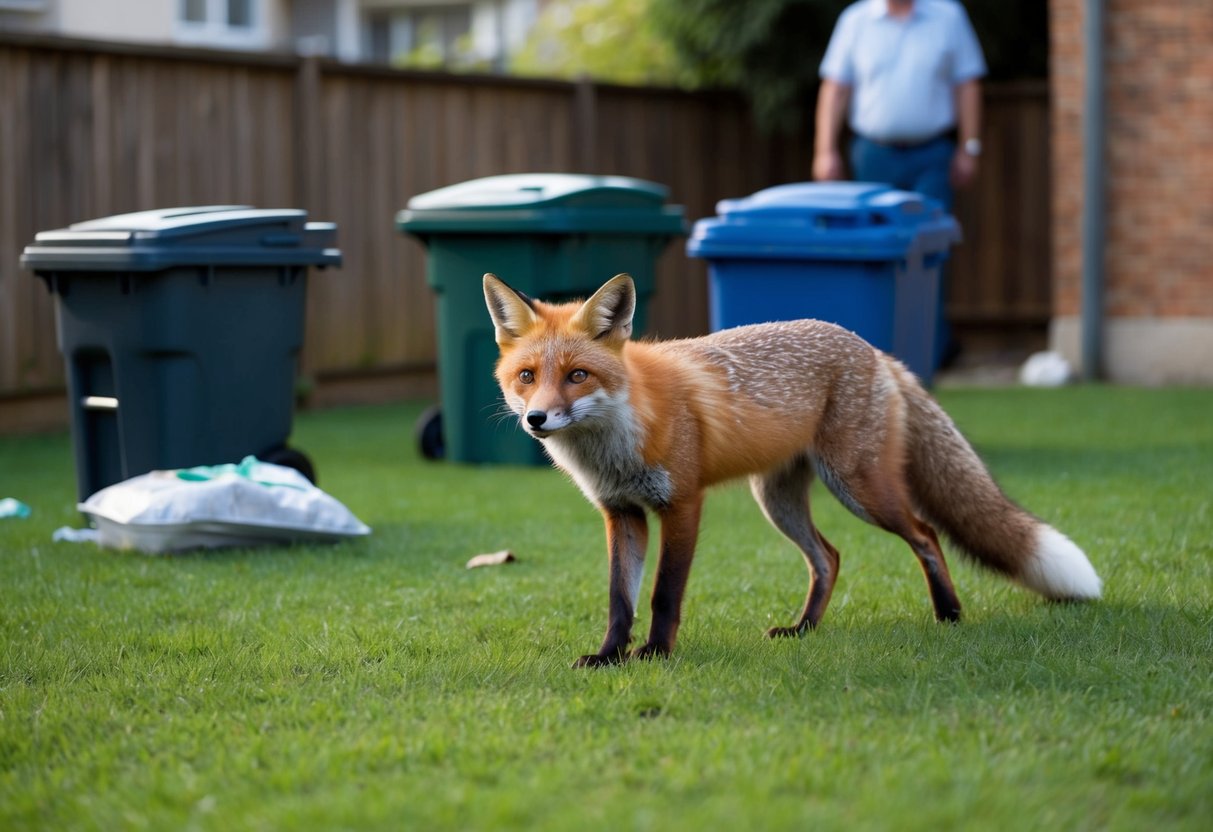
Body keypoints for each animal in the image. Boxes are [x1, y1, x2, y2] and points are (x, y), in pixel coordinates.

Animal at [483, 272, 1102, 667]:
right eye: (527, 377)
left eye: (578, 376)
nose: (537, 419)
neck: (615, 440)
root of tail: (874, 350)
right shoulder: (622, 514)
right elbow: (620, 599)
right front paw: (611, 656)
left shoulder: (682, 504)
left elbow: (662, 595)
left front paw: (655, 654)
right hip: (777, 500)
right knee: (829, 557)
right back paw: (805, 628)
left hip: (860, 488)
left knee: (925, 534)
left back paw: (948, 613)